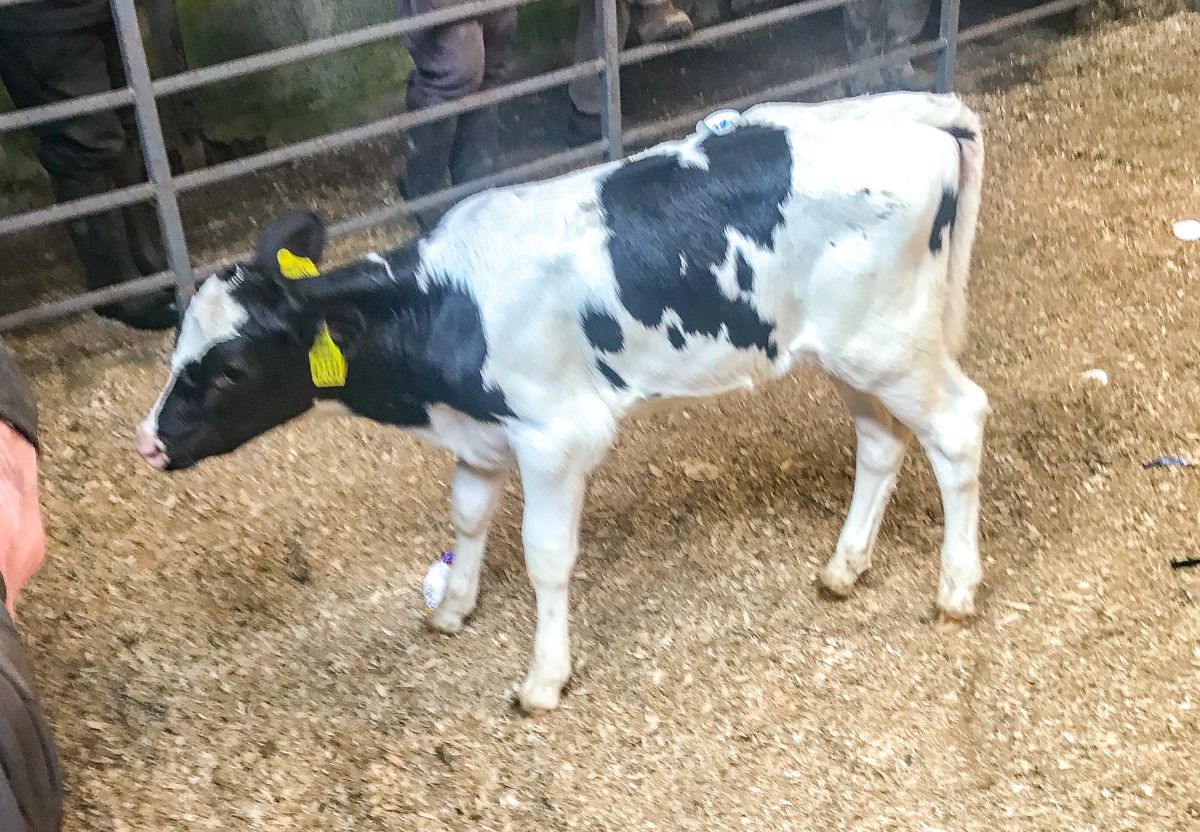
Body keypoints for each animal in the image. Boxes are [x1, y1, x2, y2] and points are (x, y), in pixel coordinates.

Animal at [135, 92, 988, 713]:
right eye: (177, 345)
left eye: (232, 369)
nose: (149, 440)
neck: (446, 306)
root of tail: (915, 111)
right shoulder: (482, 434)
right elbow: (468, 517)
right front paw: (454, 608)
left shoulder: (555, 437)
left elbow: (545, 555)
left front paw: (545, 678)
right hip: (843, 350)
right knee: (881, 443)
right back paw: (844, 568)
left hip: (890, 346)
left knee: (959, 425)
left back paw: (955, 589)